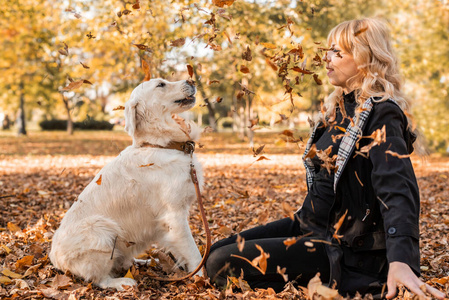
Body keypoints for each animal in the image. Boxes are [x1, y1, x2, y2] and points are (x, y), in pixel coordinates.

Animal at [49, 78, 203, 290]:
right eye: (161, 84)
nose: (191, 79)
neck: (161, 144)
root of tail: (54, 258)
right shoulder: (174, 216)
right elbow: (195, 253)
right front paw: (203, 277)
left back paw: (144, 262)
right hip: (102, 228)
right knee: (100, 279)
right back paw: (123, 282)